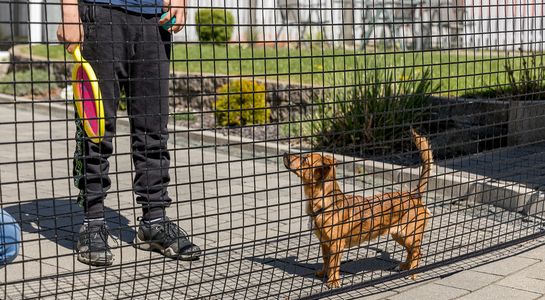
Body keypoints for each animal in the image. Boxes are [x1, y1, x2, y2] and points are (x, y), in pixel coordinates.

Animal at [282, 129, 432, 288]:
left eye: (304, 159)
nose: (285, 154)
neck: (325, 203)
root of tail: (414, 194)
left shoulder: (336, 245)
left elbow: (334, 264)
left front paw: (333, 281)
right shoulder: (324, 243)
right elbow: (325, 259)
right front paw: (323, 273)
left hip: (410, 236)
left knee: (417, 253)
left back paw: (412, 273)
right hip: (399, 235)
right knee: (412, 252)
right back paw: (405, 266)